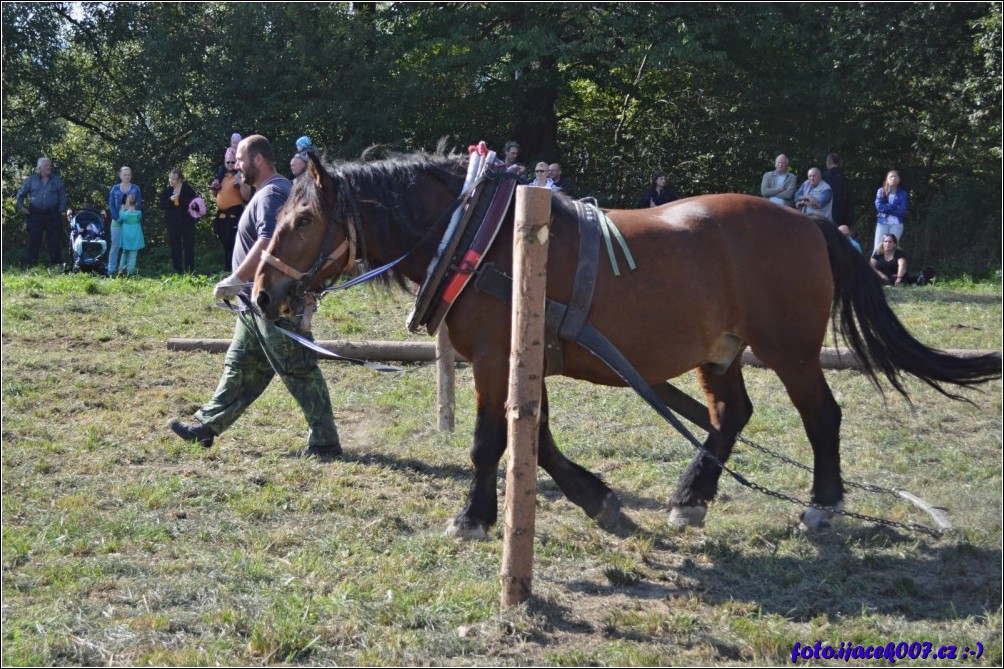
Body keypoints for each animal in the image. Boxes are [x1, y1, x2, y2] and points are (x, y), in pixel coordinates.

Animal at [253, 149, 995, 538]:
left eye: (304, 220)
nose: (261, 292)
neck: (482, 241)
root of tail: (812, 225)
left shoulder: (494, 359)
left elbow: (491, 442)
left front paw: (473, 515)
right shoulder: (526, 358)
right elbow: (538, 438)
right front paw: (596, 497)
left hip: (788, 349)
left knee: (822, 416)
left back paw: (823, 503)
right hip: (720, 350)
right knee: (731, 415)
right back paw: (691, 496)